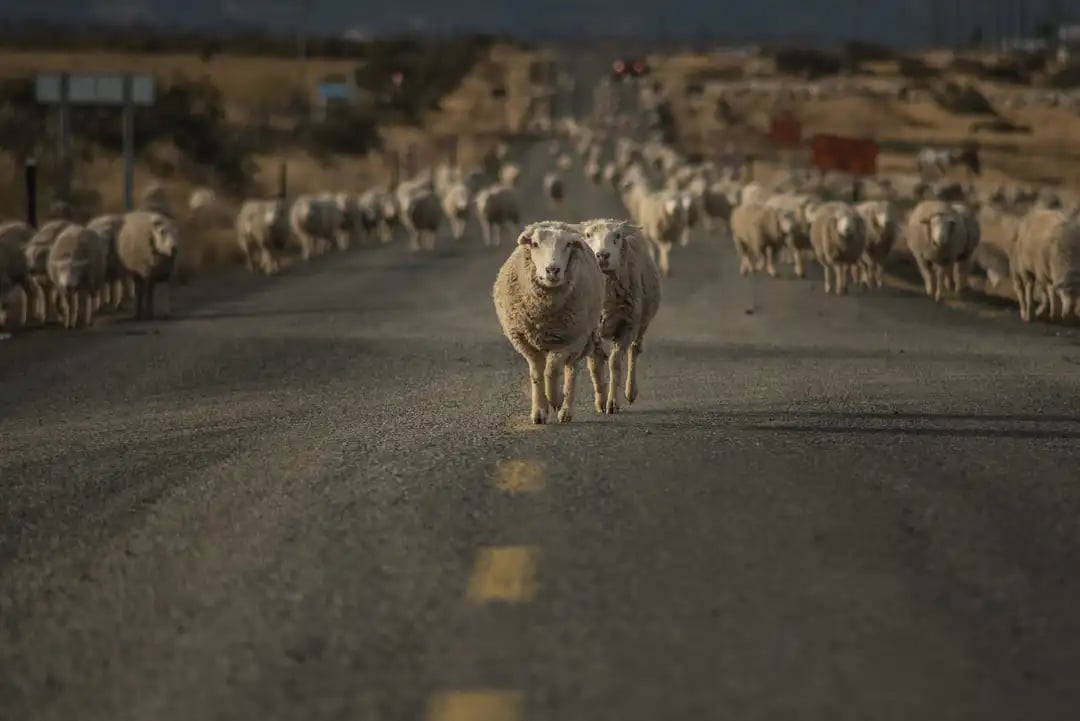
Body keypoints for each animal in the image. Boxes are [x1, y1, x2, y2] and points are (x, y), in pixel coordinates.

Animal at [492, 220, 609, 423]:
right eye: (535, 244)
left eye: (568, 245)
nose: (552, 270)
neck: (544, 314)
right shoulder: (525, 342)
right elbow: (537, 373)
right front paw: (539, 411)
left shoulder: (569, 340)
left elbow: (552, 371)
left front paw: (556, 400)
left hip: (584, 333)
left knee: (578, 367)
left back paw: (571, 408)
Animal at [583, 216, 656, 414]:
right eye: (588, 235)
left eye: (617, 236)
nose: (602, 255)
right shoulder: (590, 331)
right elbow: (595, 365)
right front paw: (600, 402)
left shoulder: (627, 325)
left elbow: (615, 363)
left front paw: (612, 403)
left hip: (641, 321)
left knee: (634, 351)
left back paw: (630, 392)